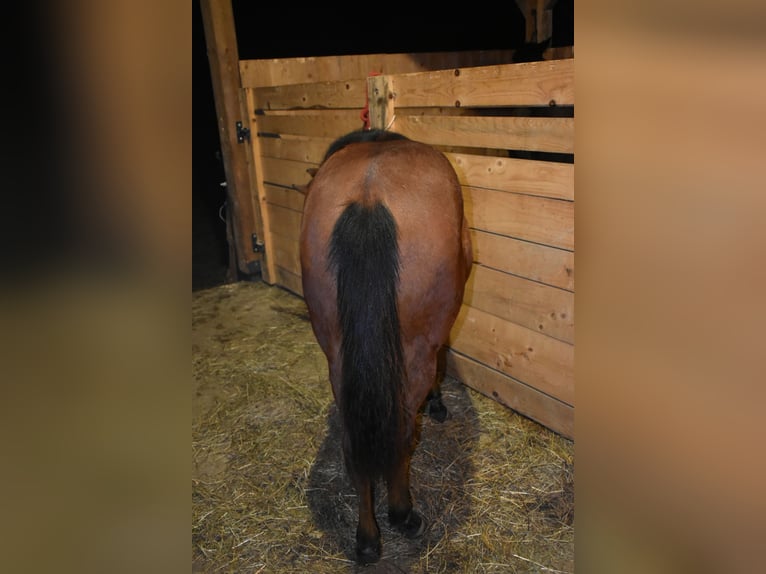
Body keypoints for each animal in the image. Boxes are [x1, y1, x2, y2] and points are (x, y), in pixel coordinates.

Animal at [299, 129, 473, 564]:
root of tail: (368, 196)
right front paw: (438, 403)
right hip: (411, 358)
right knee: (401, 434)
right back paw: (401, 514)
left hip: (338, 358)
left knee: (353, 444)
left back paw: (366, 539)